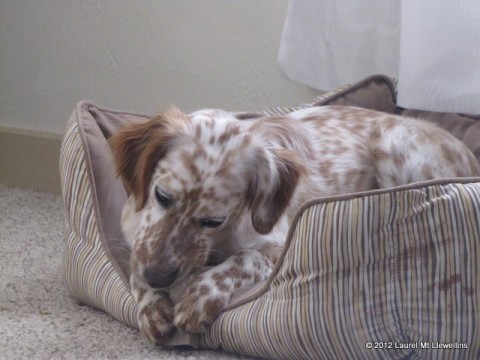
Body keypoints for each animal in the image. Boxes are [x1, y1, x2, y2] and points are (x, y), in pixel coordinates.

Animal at [109, 106, 480, 344]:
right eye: (162, 196)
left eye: (213, 220)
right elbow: (134, 266)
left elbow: (245, 257)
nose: (158, 277)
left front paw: (200, 295)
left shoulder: (277, 245)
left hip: (394, 142)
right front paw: (151, 307)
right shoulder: (136, 238)